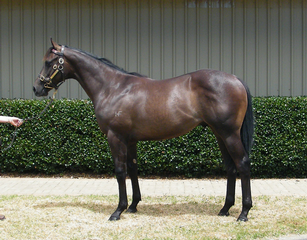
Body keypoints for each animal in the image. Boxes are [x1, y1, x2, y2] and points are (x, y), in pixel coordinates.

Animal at [33, 39, 255, 221]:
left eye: (49, 62)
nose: (37, 88)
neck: (112, 87)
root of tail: (235, 79)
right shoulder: (130, 140)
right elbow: (133, 169)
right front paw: (133, 206)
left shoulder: (116, 137)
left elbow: (120, 171)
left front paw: (118, 211)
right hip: (219, 134)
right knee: (230, 167)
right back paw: (225, 209)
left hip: (229, 134)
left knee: (242, 164)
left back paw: (243, 212)